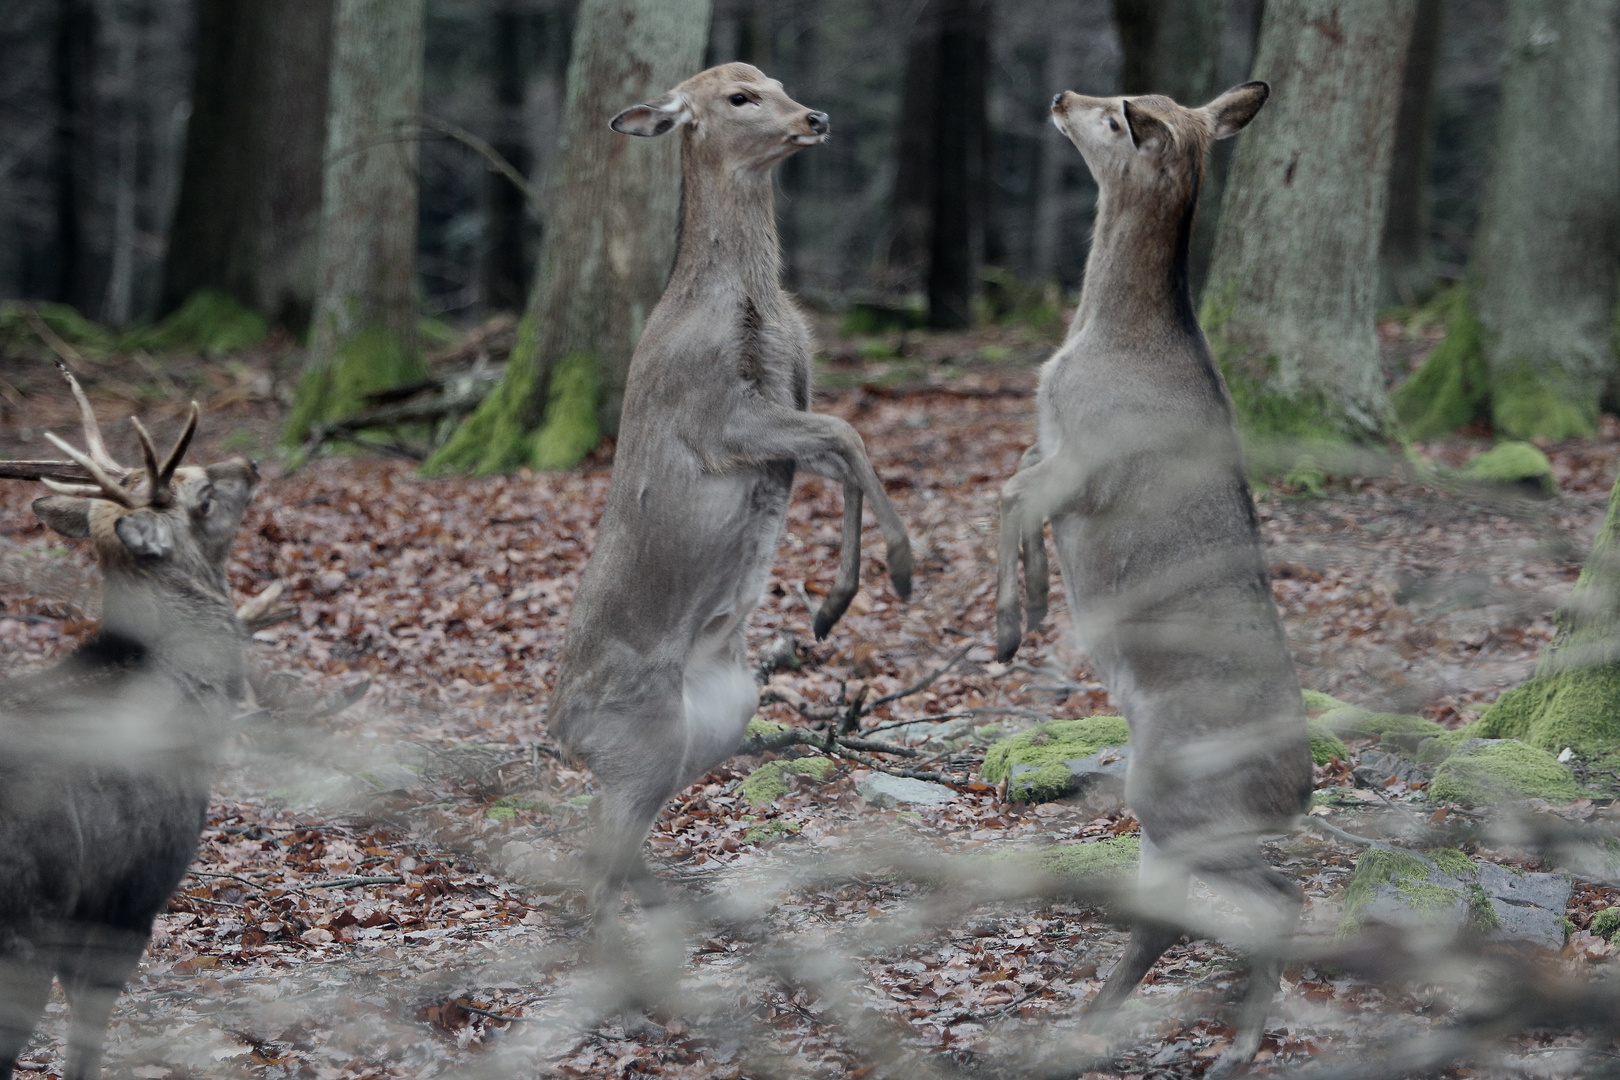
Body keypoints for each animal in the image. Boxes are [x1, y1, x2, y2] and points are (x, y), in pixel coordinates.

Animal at [984, 82, 1315, 1075]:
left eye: (1119, 114)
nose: (1062, 94)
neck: (1100, 340)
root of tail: (1298, 790)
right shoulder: (1049, 449)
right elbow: (1010, 488)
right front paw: (1036, 606)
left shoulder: (1085, 463)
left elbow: (1005, 497)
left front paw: (1008, 631)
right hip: (1171, 814)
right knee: (1182, 911)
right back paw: (1093, 1020)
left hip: (1182, 802)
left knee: (1277, 896)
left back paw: (1235, 1046)